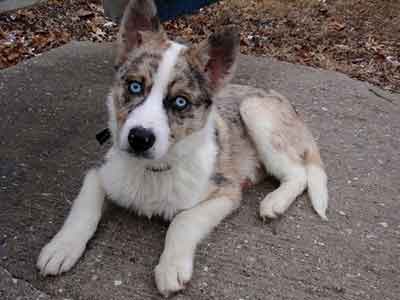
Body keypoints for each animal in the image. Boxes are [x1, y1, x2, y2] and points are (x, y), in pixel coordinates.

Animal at [36, 0, 328, 296]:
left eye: (180, 102)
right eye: (134, 86)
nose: (139, 138)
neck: (152, 170)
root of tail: (288, 106)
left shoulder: (226, 193)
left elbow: (183, 220)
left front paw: (171, 266)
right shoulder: (100, 171)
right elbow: (84, 203)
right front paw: (62, 247)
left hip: (254, 109)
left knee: (299, 174)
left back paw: (274, 202)